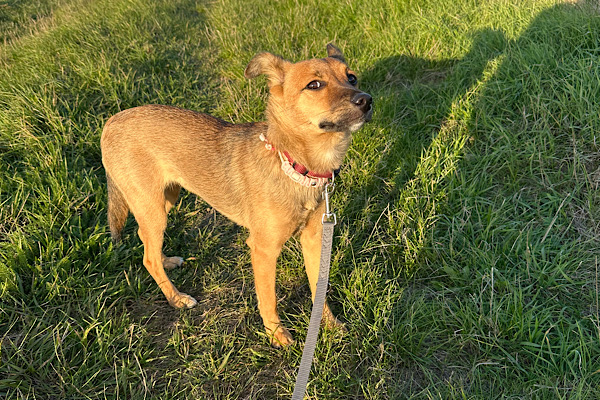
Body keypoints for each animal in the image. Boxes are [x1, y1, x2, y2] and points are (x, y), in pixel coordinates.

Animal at [101, 43, 372, 344]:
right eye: (314, 85)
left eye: (352, 78)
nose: (366, 100)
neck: (294, 165)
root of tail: (111, 122)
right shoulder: (264, 250)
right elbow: (269, 298)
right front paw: (277, 335)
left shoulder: (314, 240)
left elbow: (318, 287)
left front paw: (329, 324)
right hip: (152, 207)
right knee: (147, 255)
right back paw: (176, 298)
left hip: (165, 199)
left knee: (146, 242)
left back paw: (167, 262)